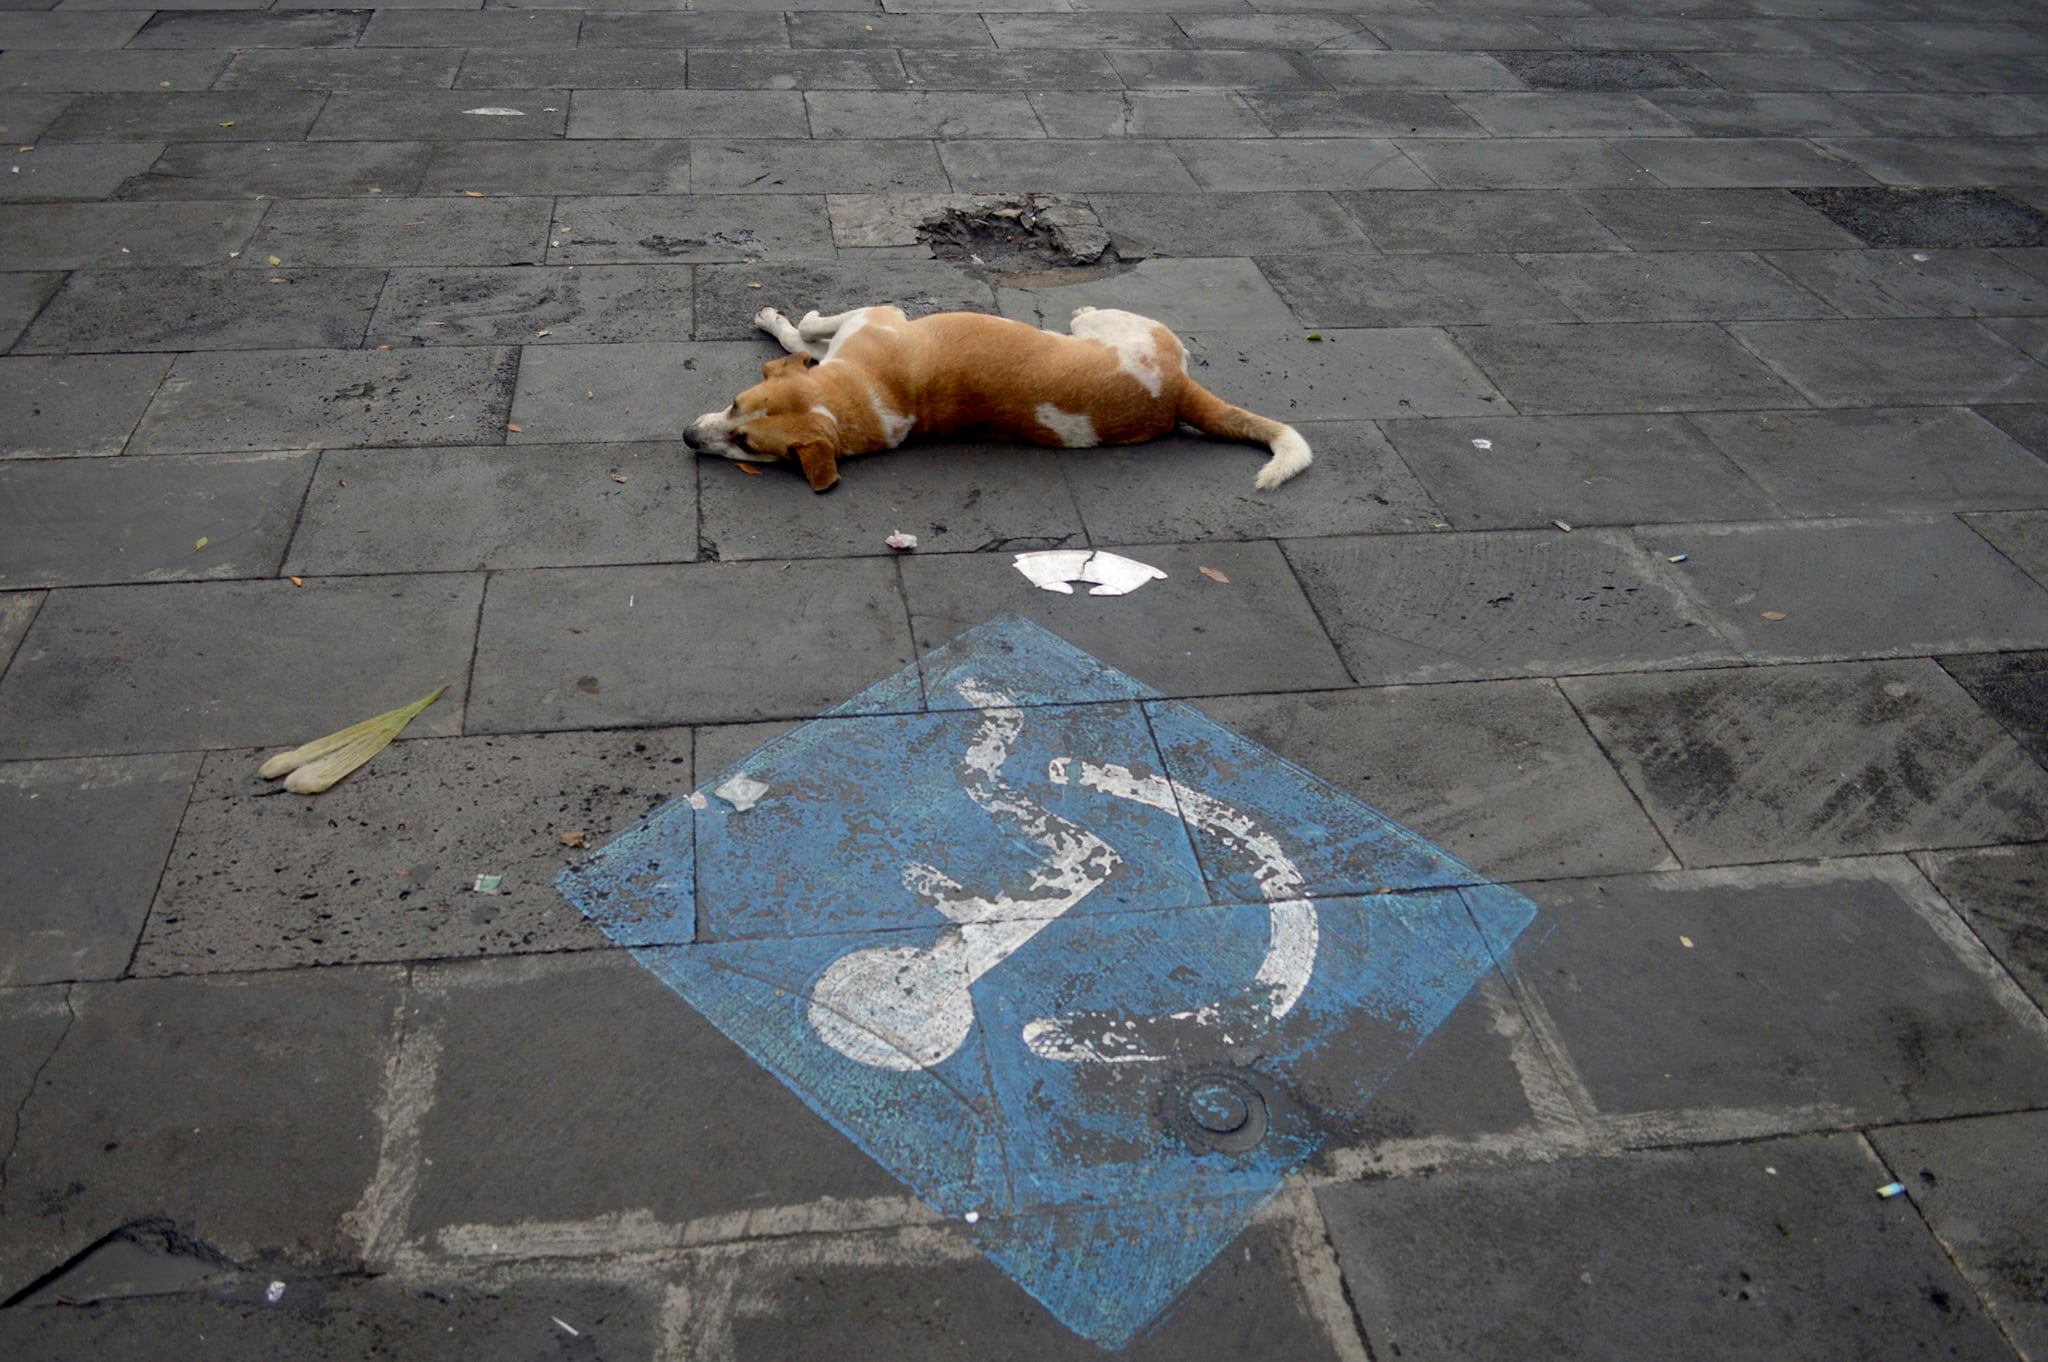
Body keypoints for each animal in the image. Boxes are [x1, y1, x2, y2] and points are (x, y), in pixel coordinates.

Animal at [679, 303, 1318, 493]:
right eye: (734, 408)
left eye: (745, 440)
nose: (687, 438)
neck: (849, 397)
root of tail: (1177, 395)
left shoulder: (875, 315)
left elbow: (805, 332)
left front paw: (784, 321)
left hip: (1118, 326)